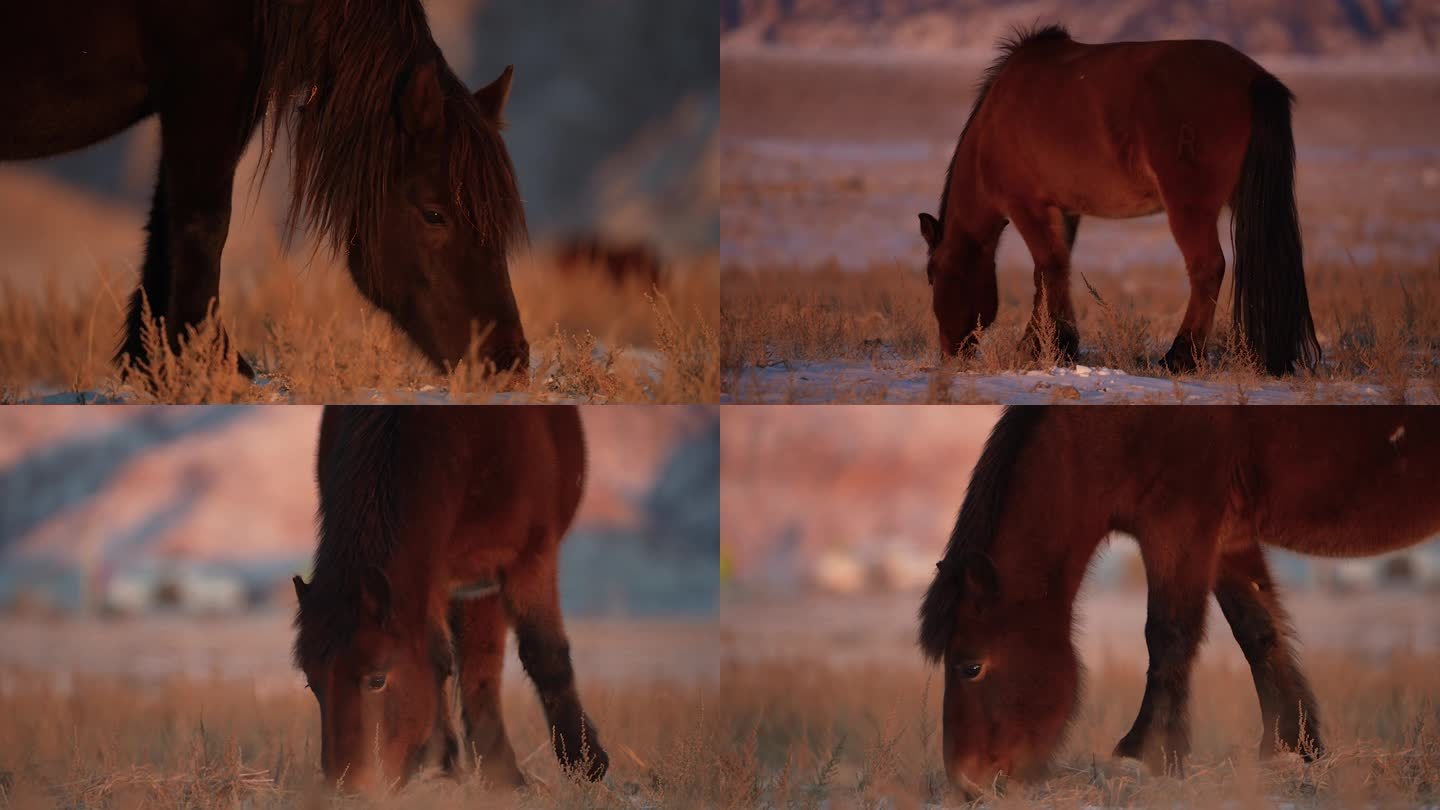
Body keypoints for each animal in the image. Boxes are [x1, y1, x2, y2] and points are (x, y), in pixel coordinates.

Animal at [1, 0, 529, 377]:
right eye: (435, 213)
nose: (510, 361)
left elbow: (166, 221)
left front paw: (157, 361)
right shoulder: (209, 83)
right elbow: (204, 221)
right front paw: (208, 362)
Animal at [292, 403, 607, 789]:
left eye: (377, 679)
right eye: (313, 683)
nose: (348, 788)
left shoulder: (529, 557)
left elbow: (544, 654)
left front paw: (585, 763)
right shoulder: (433, 573)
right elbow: (438, 658)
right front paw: (440, 767)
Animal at [915, 25, 1319, 374]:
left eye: (933, 275)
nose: (950, 353)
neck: (994, 127)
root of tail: (1253, 77)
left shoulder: (1027, 207)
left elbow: (1048, 268)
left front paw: (1049, 347)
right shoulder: (1065, 211)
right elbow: (1053, 271)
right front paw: (1046, 343)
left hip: (1189, 209)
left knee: (1208, 268)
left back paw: (1180, 357)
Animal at [921, 403, 1440, 789]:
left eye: (971, 667)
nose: (967, 783)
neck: (1113, 428)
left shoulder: (1178, 529)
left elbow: (1169, 635)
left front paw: (1145, 753)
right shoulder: (1228, 539)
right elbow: (1259, 631)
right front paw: (1291, 748)